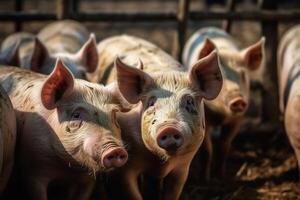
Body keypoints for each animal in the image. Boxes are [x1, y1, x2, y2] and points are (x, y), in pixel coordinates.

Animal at [0, 57, 127, 199]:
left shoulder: (87, 181)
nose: (115, 149)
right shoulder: (32, 171)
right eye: (76, 115)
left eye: (114, 116)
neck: (66, 168)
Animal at [94, 35, 223, 199]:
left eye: (189, 101)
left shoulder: (182, 167)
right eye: (151, 103)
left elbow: (172, 193)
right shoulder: (123, 170)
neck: (160, 162)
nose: (169, 128)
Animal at [183, 27, 264, 180]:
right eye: (220, 76)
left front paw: (221, 176)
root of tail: (210, 28)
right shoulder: (204, 119)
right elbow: (207, 149)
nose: (238, 99)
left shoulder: (237, 120)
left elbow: (224, 146)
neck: (221, 115)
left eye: (243, 76)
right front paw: (205, 179)